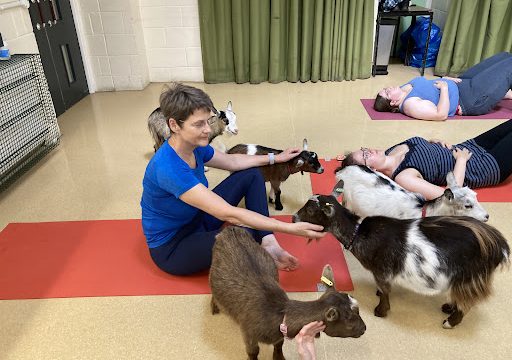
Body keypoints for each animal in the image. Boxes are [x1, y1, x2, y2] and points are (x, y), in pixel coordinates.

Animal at [210, 226, 366, 358]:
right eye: (349, 321)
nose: (364, 328)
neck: (279, 313)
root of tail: (230, 230)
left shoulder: (278, 336)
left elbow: (279, 344)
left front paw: (279, 357)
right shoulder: (248, 333)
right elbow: (253, 352)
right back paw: (214, 307)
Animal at [294, 195, 510, 328]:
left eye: (311, 210)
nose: (294, 217)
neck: (358, 233)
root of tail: (499, 246)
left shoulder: (382, 270)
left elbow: (385, 292)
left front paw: (380, 311)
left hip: (470, 277)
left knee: (468, 302)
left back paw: (449, 322)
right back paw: (448, 307)